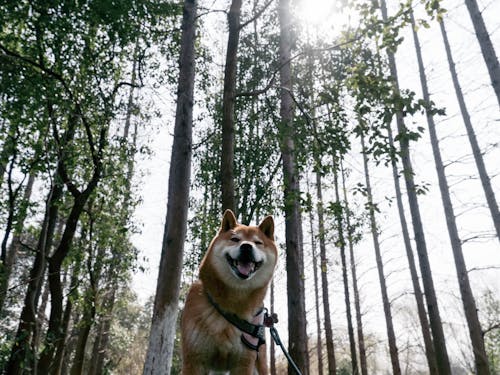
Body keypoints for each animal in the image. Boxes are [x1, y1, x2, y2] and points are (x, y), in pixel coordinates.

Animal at [183, 210, 280, 374]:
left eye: (258, 243)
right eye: (235, 239)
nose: (246, 247)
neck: (233, 303)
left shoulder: (244, 361)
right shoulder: (195, 360)